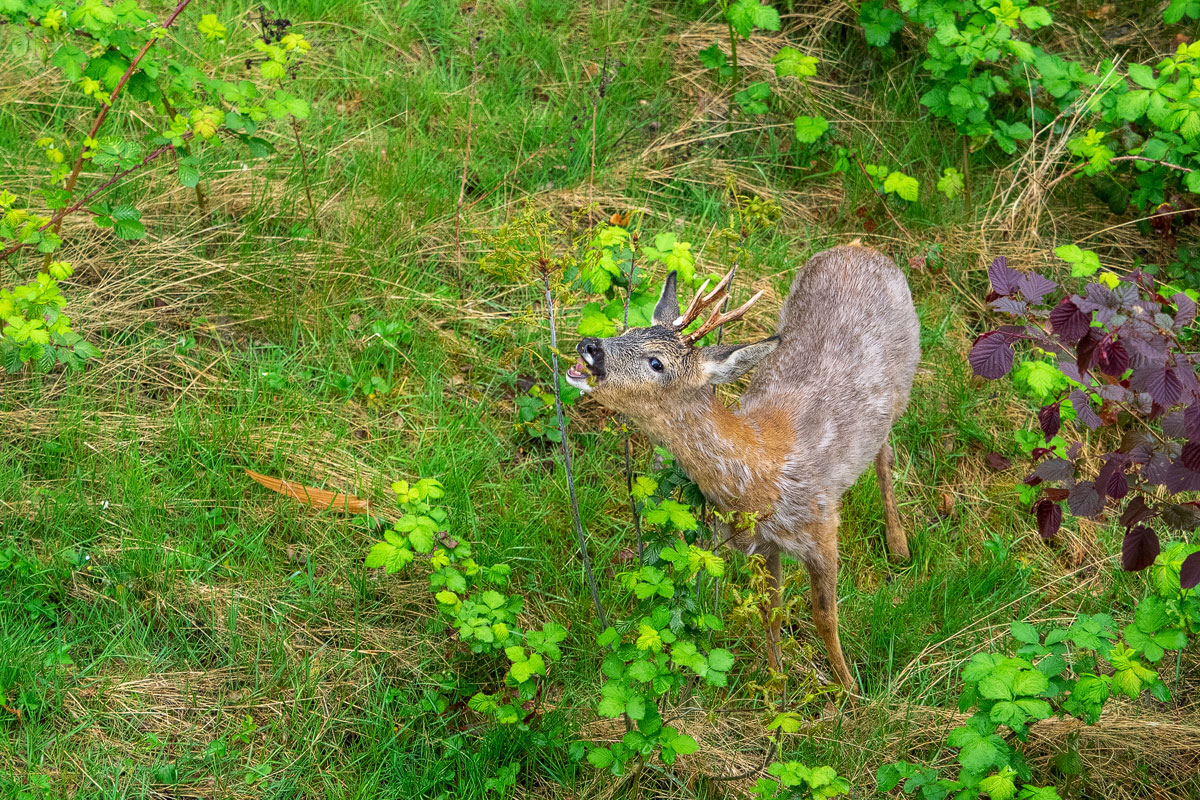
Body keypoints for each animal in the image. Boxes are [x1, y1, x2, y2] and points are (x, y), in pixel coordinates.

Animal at [564, 244, 920, 692]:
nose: (589, 346)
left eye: (656, 363)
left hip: (905, 379)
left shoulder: (822, 529)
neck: (758, 472)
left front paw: (850, 689)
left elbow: (825, 617)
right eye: (628, 330)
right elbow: (771, 613)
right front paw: (777, 686)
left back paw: (899, 544)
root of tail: (860, 247)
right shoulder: (758, 545)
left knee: (885, 454)